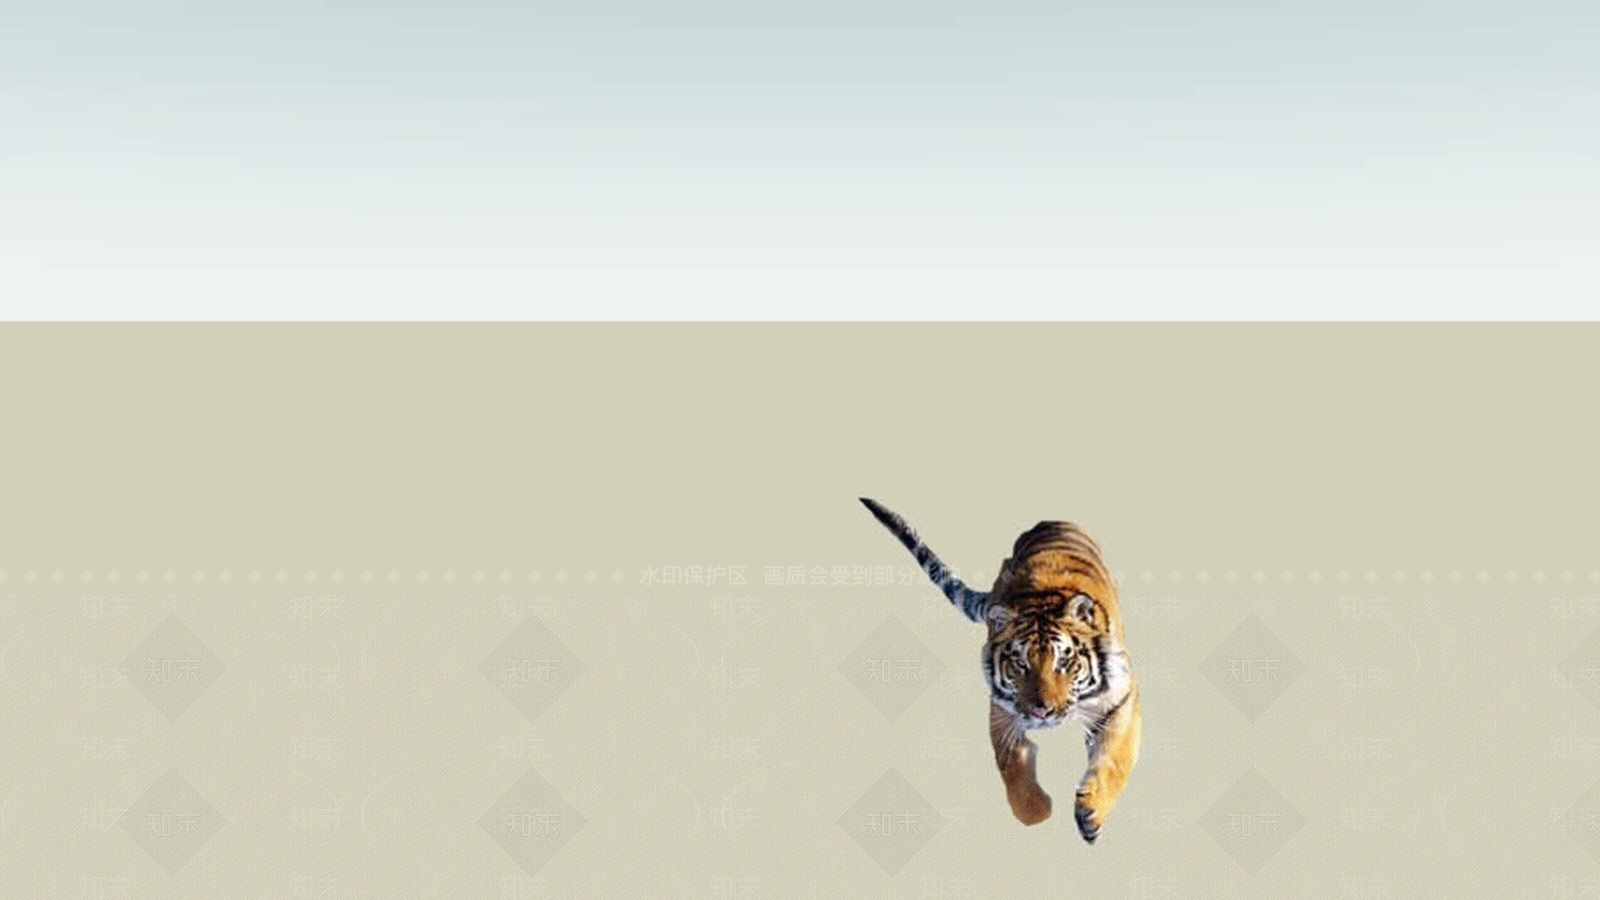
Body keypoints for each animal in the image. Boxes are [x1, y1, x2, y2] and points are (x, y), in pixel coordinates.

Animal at [860, 497, 1141, 842]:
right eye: (1020, 663)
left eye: (1064, 662)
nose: (1042, 712)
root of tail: (1050, 520)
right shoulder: (1002, 710)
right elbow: (1011, 767)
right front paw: (1038, 811)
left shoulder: (1122, 699)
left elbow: (1114, 758)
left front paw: (1092, 813)